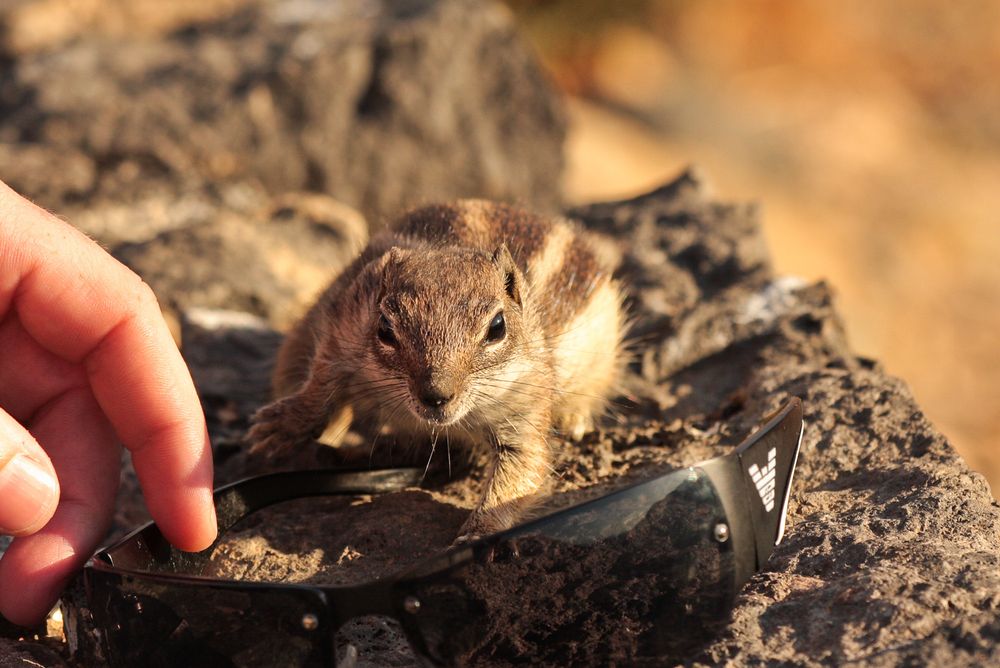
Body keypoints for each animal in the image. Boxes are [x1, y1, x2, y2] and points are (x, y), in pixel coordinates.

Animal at [250, 200, 624, 536]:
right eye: (385, 328)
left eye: (497, 328)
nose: (436, 395)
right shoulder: (346, 323)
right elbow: (322, 380)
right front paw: (281, 426)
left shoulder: (526, 397)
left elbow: (522, 467)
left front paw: (478, 532)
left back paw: (574, 419)